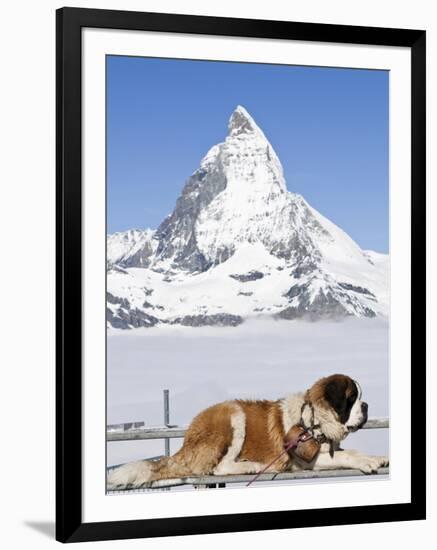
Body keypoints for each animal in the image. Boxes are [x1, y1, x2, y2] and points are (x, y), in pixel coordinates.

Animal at [107, 376, 386, 492]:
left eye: (359, 397)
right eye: (352, 398)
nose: (366, 405)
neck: (314, 418)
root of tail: (186, 442)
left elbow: (347, 451)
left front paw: (376, 458)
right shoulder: (307, 459)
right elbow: (349, 454)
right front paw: (368, 461)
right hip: (233, 415)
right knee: (217, 468)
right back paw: (251, 465)